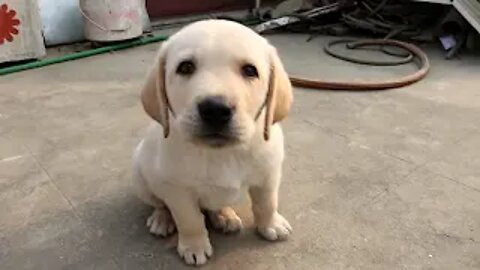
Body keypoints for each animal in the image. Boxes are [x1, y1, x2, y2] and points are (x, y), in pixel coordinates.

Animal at [133, 19, 294, 266]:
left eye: (250, 70)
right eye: (185, 67)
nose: (216, 110)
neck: (222, 154)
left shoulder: (269, 174)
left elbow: (267, 203)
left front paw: (271, 224)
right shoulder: (177, 190)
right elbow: (189, 219)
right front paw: (195, 246)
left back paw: (224, 216)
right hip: (141, 176)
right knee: (160, 203)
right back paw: (162, 219)